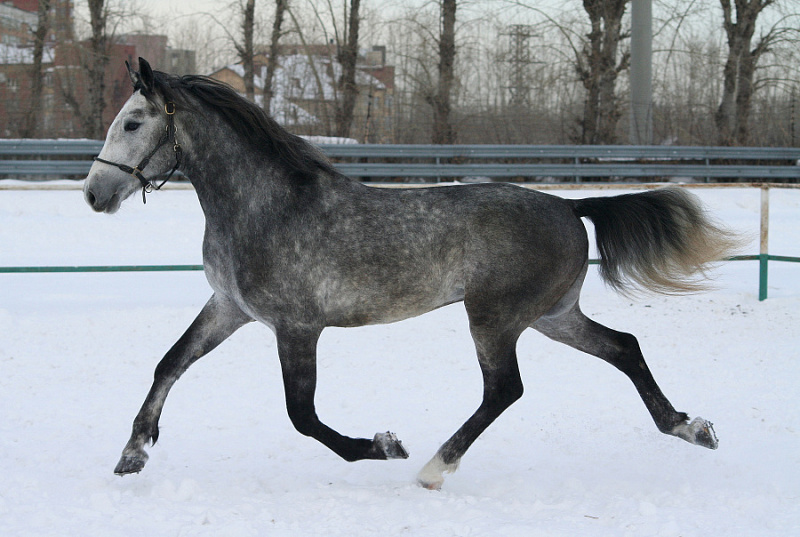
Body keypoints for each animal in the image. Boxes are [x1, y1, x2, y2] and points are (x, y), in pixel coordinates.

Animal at [84, 58, 738, 490]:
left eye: (134, 123)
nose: (95, 194)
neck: (263, 207)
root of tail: (569, 207)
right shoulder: (229, 308)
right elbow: (169, 364)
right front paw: (133, 454)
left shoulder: (296, 327)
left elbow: (302, 415)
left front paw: (383, 445)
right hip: (552, 315)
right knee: (623, 347)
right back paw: (691, 428)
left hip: (494, 318)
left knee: (505, 389)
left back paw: (432, 467)